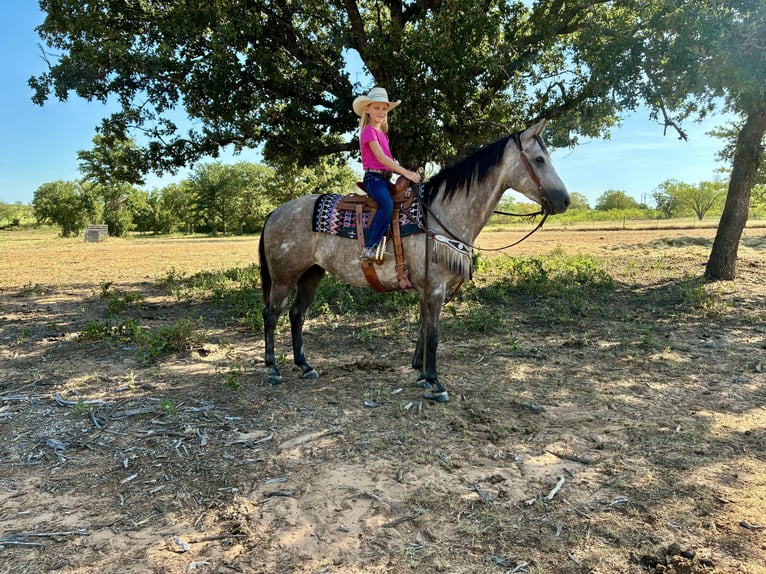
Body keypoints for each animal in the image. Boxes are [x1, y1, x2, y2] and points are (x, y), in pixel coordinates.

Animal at [258, 120, 570, 402]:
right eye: (539, 159)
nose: (565, 201)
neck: (439, 215)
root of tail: (275, 212)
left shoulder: (426, 288)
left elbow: (422, 327)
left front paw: (420, 373)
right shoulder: (435, 288)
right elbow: (433, 334)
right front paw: (435, 382)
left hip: (311, 274)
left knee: (297, 314)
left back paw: (305, 366)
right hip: (284, 277)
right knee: (272, 314)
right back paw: (272, 369)